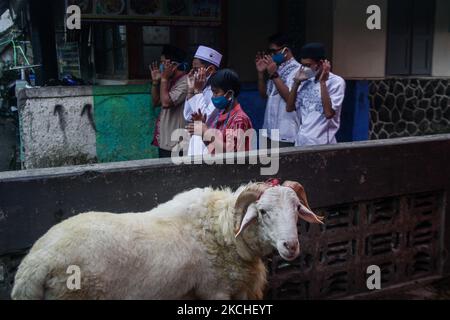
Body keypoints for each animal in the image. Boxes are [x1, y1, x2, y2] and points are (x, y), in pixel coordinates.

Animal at [10, 180, 324, 300]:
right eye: (262, 212)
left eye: (297, 208)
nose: (291, 246)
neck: (222, 232)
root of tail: (34, 264)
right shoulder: (215, 291)